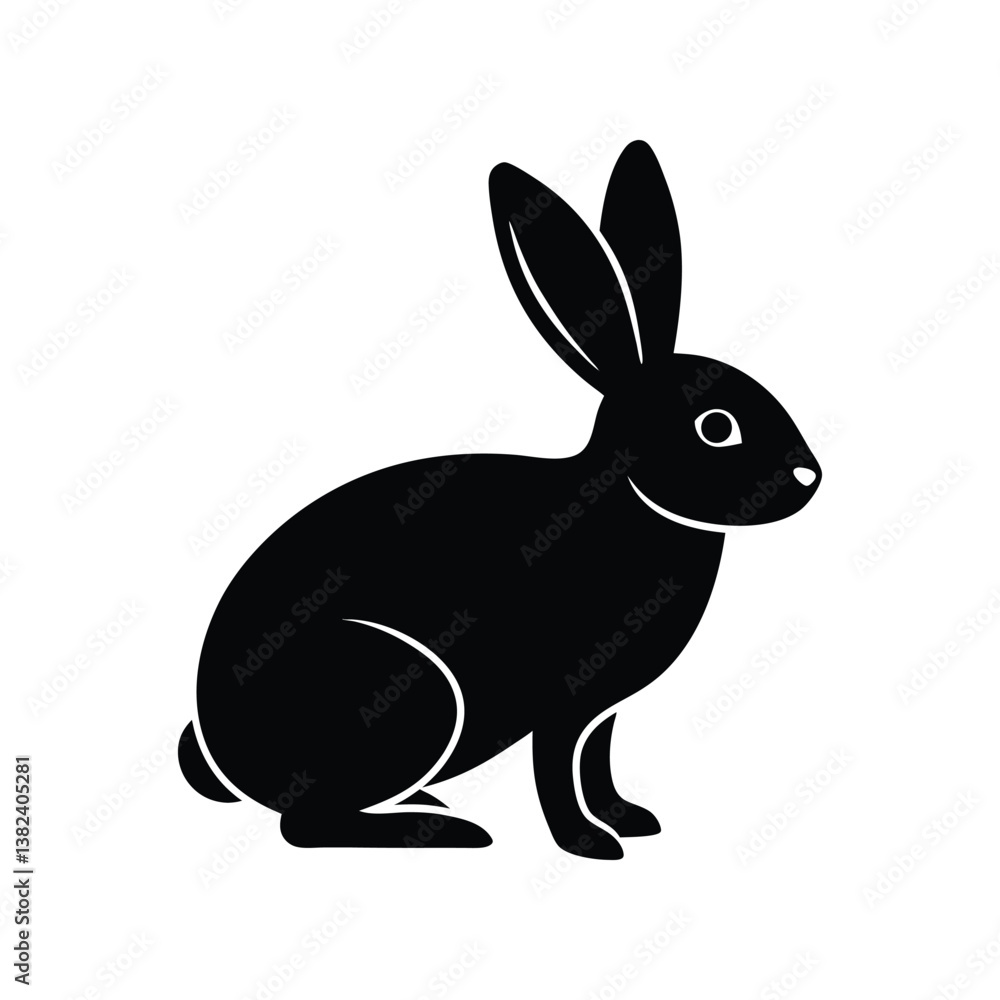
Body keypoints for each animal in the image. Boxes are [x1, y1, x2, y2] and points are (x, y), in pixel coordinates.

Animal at [179, 140, 821, 860]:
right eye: (716, 426)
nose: (809, 477)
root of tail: (222, 750)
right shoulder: (564, 699)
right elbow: (558, 769)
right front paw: (591, 845)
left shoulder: (602, 712)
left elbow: (596, 762)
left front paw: (629, 819)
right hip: (402, 693)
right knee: (305, 826)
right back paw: (444, 831)